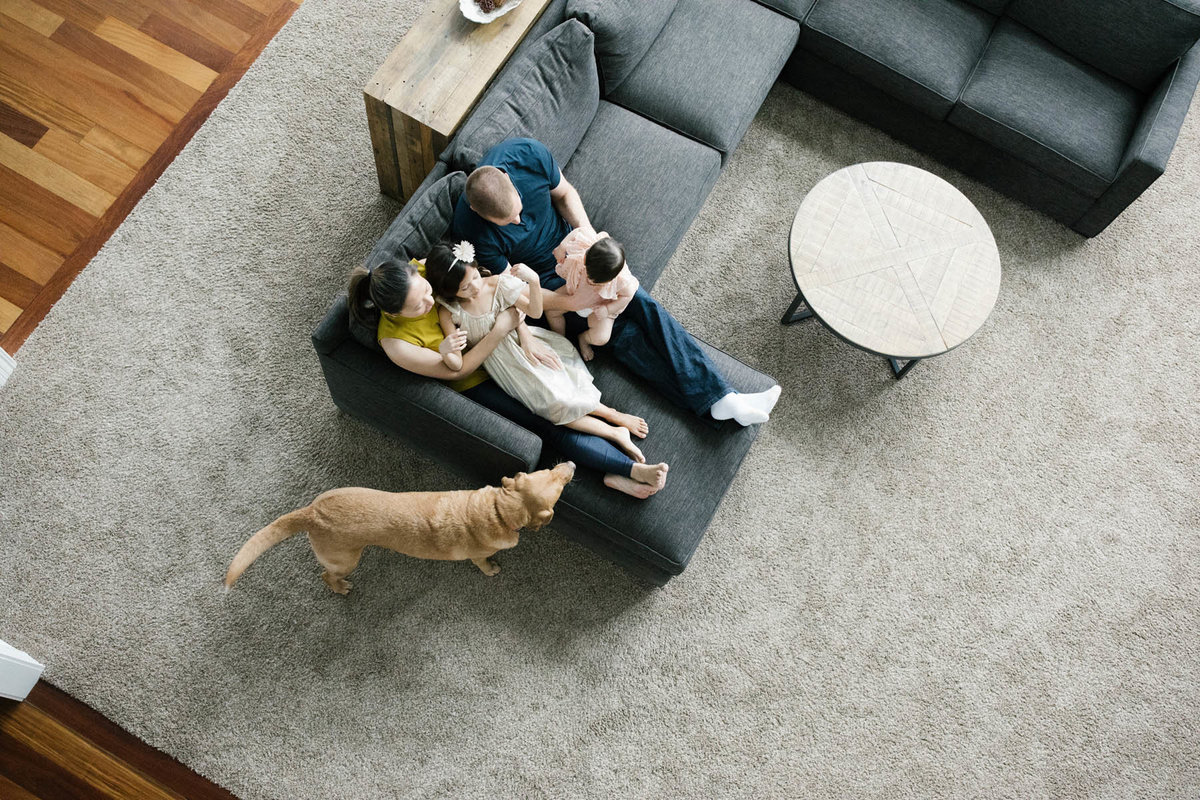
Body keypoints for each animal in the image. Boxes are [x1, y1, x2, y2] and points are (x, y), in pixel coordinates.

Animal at [229, 462, 580, 594]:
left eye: (547, 470)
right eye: (559, 485)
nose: (572, 464)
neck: (496, 510)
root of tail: (311, 513)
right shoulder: (479, 555)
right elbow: (484, 564)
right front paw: (492, 569)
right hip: (346, 560)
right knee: (326, 575)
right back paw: (340, 588)